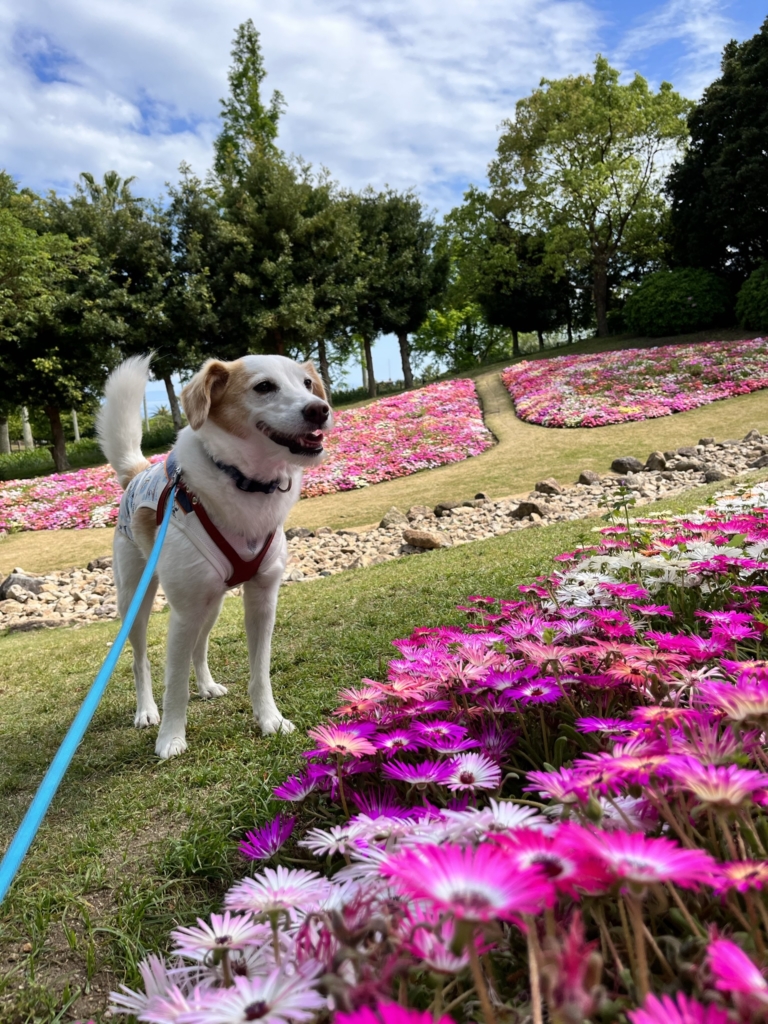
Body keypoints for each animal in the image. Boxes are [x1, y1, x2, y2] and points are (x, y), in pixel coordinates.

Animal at [96, 356, 333, 757]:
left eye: (306, 384)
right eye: (264, 387)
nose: (319, 409)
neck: (246, 482)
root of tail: (136, 474)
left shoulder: (263, 599)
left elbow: (260, 671)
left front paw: (270, 719)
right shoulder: (183, 612)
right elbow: (175, 685)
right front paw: (171, 738)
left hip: (212, 603)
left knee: (200, 645)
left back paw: (206, 686)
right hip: (137, 599)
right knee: (140, 661)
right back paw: (146, 711)